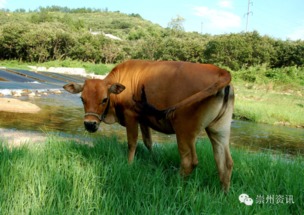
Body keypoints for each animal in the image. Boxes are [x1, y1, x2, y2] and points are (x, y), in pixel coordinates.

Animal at [63, 60, 234, 191]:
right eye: (82, 99)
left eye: (104, 99)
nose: (89, 124)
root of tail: (221, 71)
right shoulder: (143, 120)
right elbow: (148, 142)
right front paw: (153, 159)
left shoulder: (131, 116)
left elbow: (132, 142)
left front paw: (129, 164)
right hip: (219, 130)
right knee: (225, 162)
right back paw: (223, 194)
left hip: (184, 130)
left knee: (189, 161)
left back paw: (176, 185)